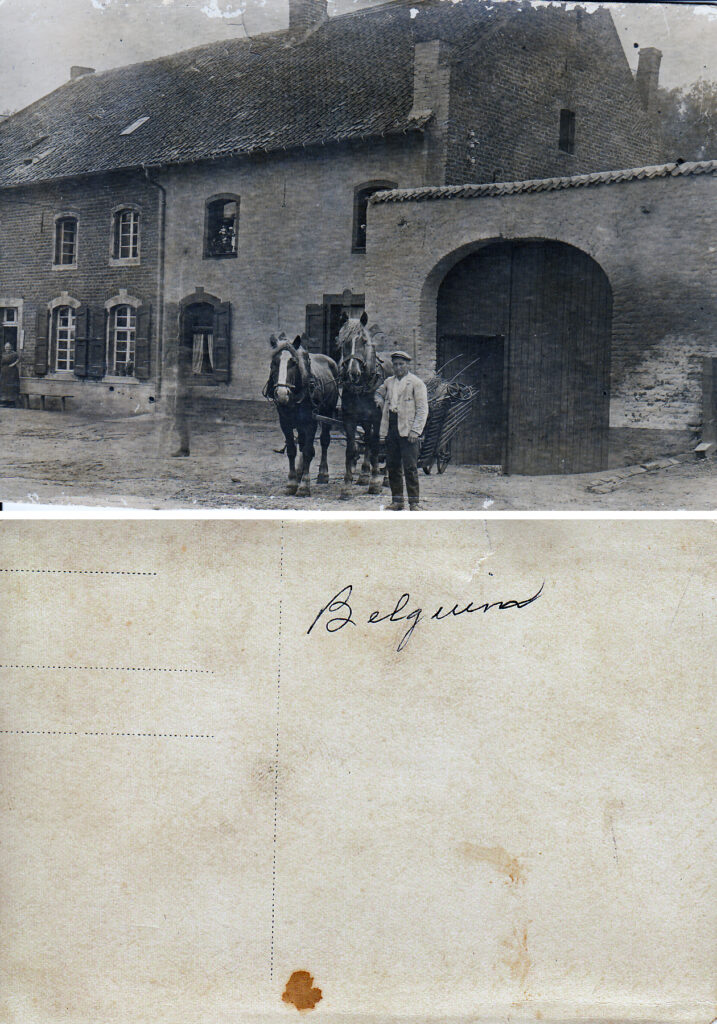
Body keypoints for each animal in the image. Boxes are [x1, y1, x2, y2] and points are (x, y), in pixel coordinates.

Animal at [266, 333, 338, 497]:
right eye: (274, 362)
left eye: (293, 362)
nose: (282, 394)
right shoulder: (285, 423)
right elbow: (292, 450)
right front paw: (292, 482)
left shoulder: (311, 422)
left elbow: (308, 452)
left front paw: (304, 485)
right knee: (302, 442)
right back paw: (299, 472)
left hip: (327, 412)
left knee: (324, 441)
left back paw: (323, 474)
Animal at [338, 309, 391, 497]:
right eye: (344, 342)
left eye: (364, 341)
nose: (353, 372)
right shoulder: (349, 419)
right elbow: (351, 449)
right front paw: (347, 485)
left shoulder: (377, 418)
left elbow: (376, 446)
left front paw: (375, 482)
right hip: (365, 421)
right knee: (366, 439)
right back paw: (364, 474)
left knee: (382, 443)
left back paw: (382, 477)